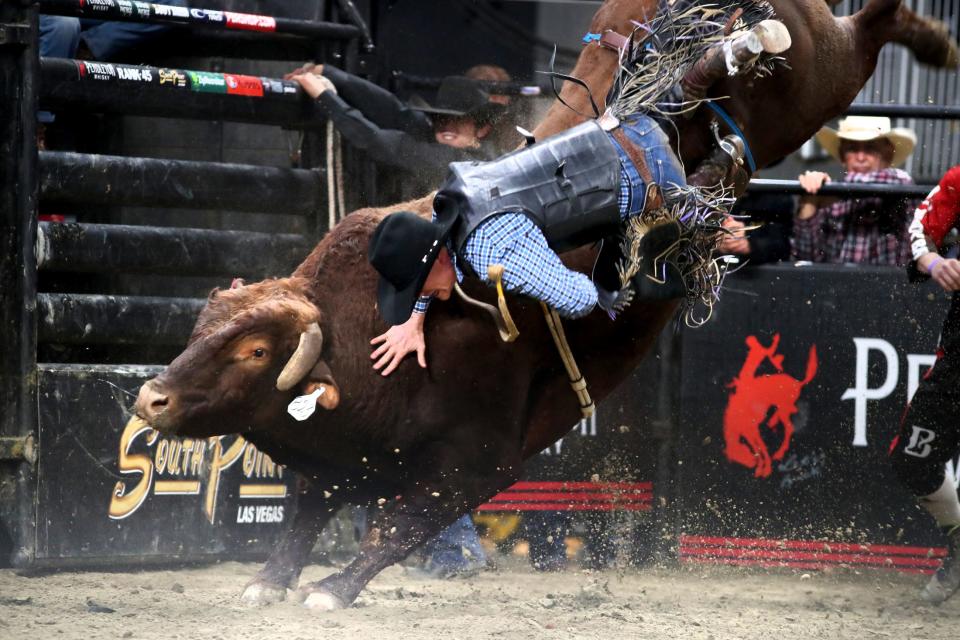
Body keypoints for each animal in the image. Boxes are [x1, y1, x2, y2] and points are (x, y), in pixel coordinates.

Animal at [135, 0, 952, 608]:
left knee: (858, 32)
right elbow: (303, 517)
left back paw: (881, 43)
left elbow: (394, 531)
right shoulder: (334, 460)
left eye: (254, 350)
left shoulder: (479, 462)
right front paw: (269, 581)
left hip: (817, 80)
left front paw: (332, 589)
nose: (151, 398)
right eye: (199, 329)